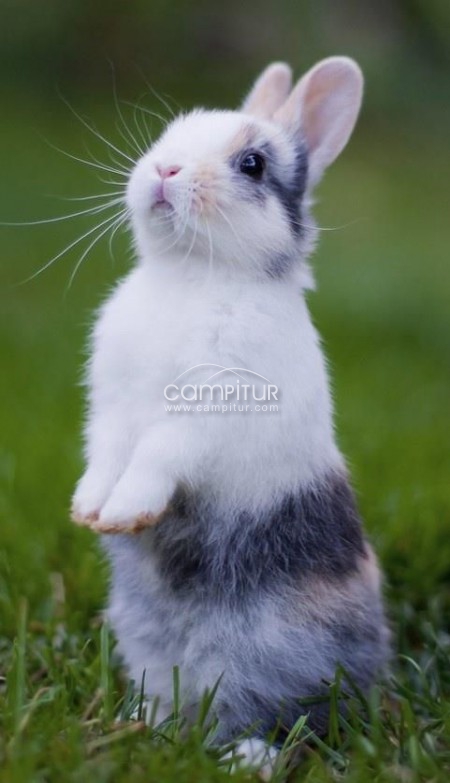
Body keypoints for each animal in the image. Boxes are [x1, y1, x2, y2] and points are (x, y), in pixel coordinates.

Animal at [71, 57, 389, 774]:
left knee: (278, 715)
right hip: (149, 645)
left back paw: (246, 757)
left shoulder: (203, 416)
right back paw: (142, 722)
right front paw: (91, 511)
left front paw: (128, 511)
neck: (192, 273)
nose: (165, 170)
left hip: (261, 652)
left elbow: (155, 456)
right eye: (170, 133)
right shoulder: (111, 409)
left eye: (251, 163)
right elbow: (106, 456)